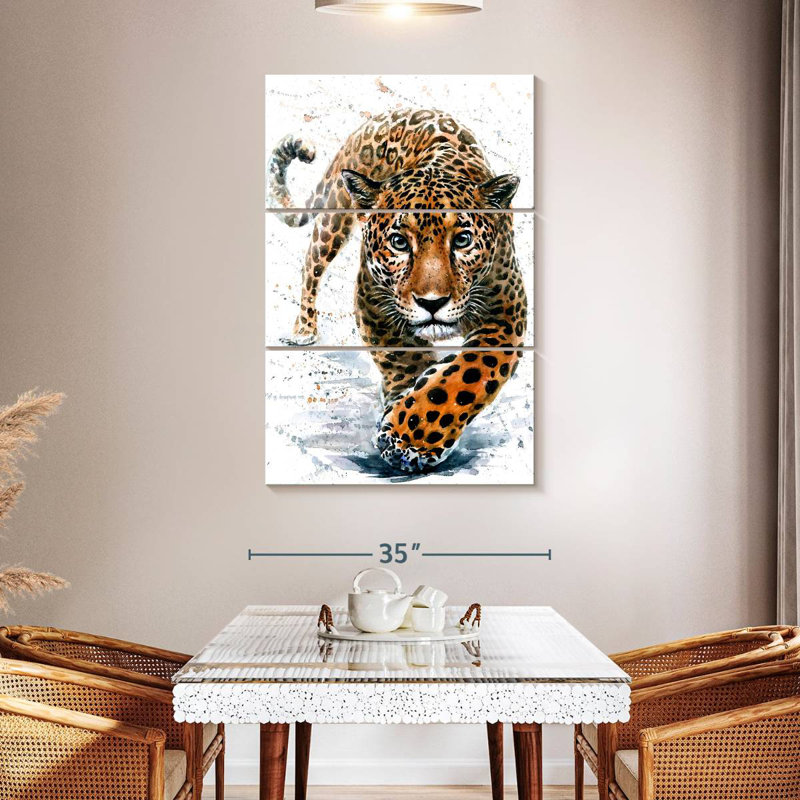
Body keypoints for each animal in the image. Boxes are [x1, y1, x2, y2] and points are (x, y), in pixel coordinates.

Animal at [267, 107, 528, 474]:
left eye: (462, 240)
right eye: (399, 242)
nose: (432, 302)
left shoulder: (507, 312)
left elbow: (468, 374)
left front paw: (412, 436)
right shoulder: (373, 303)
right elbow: (405, 360)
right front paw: (406, 429)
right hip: (334, 216)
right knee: (311, 264)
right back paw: (304, 329)